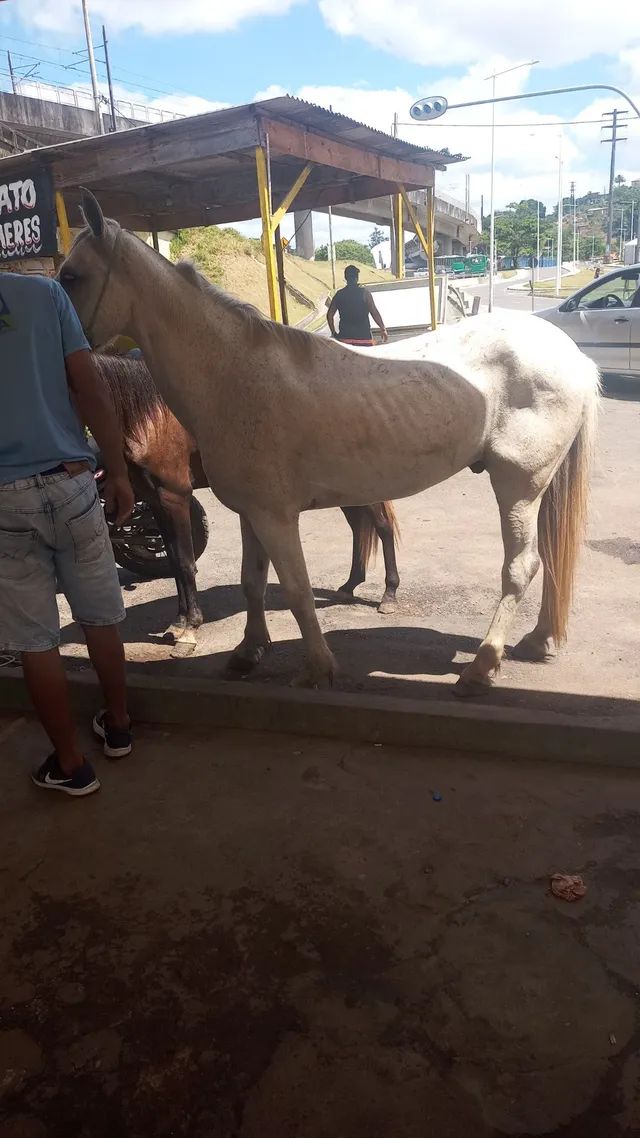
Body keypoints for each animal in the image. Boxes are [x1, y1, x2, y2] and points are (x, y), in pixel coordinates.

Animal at [93, 355, 398, 655]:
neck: (148, 417)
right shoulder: (156, 502)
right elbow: (174, 561)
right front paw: (178, 623)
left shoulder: (174, 497)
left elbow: (184, 562)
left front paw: (189, 630)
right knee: (359, 527)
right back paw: (350, 585)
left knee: (382, 527)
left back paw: (388, 596)